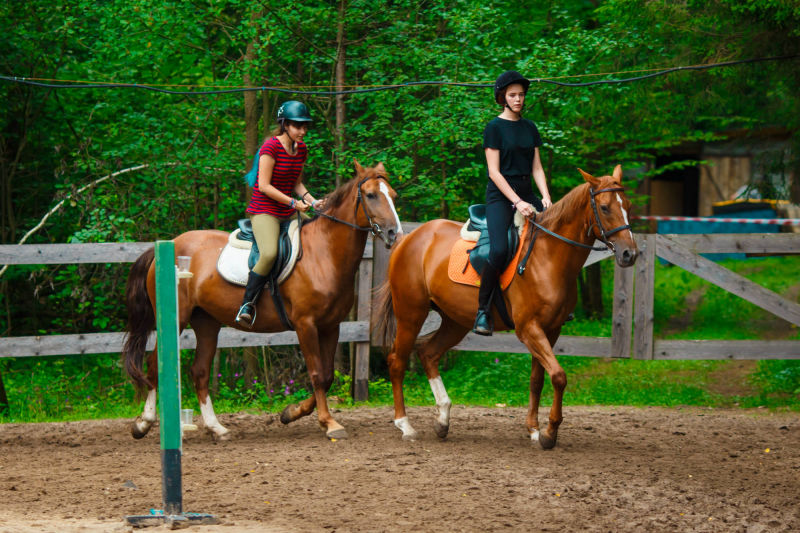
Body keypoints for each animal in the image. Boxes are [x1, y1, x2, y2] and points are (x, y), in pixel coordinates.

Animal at [122, 159, 404, 440]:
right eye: (371, 195)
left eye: (393, 195)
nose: (394, 234)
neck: (324, 254)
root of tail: (168, 244)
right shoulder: (306, 325)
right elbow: (316, 374)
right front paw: (329, 423)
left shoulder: (330, 326)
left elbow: (326, 377)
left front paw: (291, 413)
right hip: (177, 318)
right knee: (154, 365)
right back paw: (143, 423)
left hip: (206, 322)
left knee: (199, 372)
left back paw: (217, 428)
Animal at [376, 164, 636, 446]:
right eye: (605, 208)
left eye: (628, 205)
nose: (629, 254)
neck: (549, 256)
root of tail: (409, 238)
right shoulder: (529, 328)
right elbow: (558, 376)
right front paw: (549, 432)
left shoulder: (551, 330)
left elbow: (538, 379)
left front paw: (534, 430)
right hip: (410, 314)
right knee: (397, 361)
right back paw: (405, 425)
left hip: (455, 321)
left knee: (428, 353)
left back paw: (443, 418)